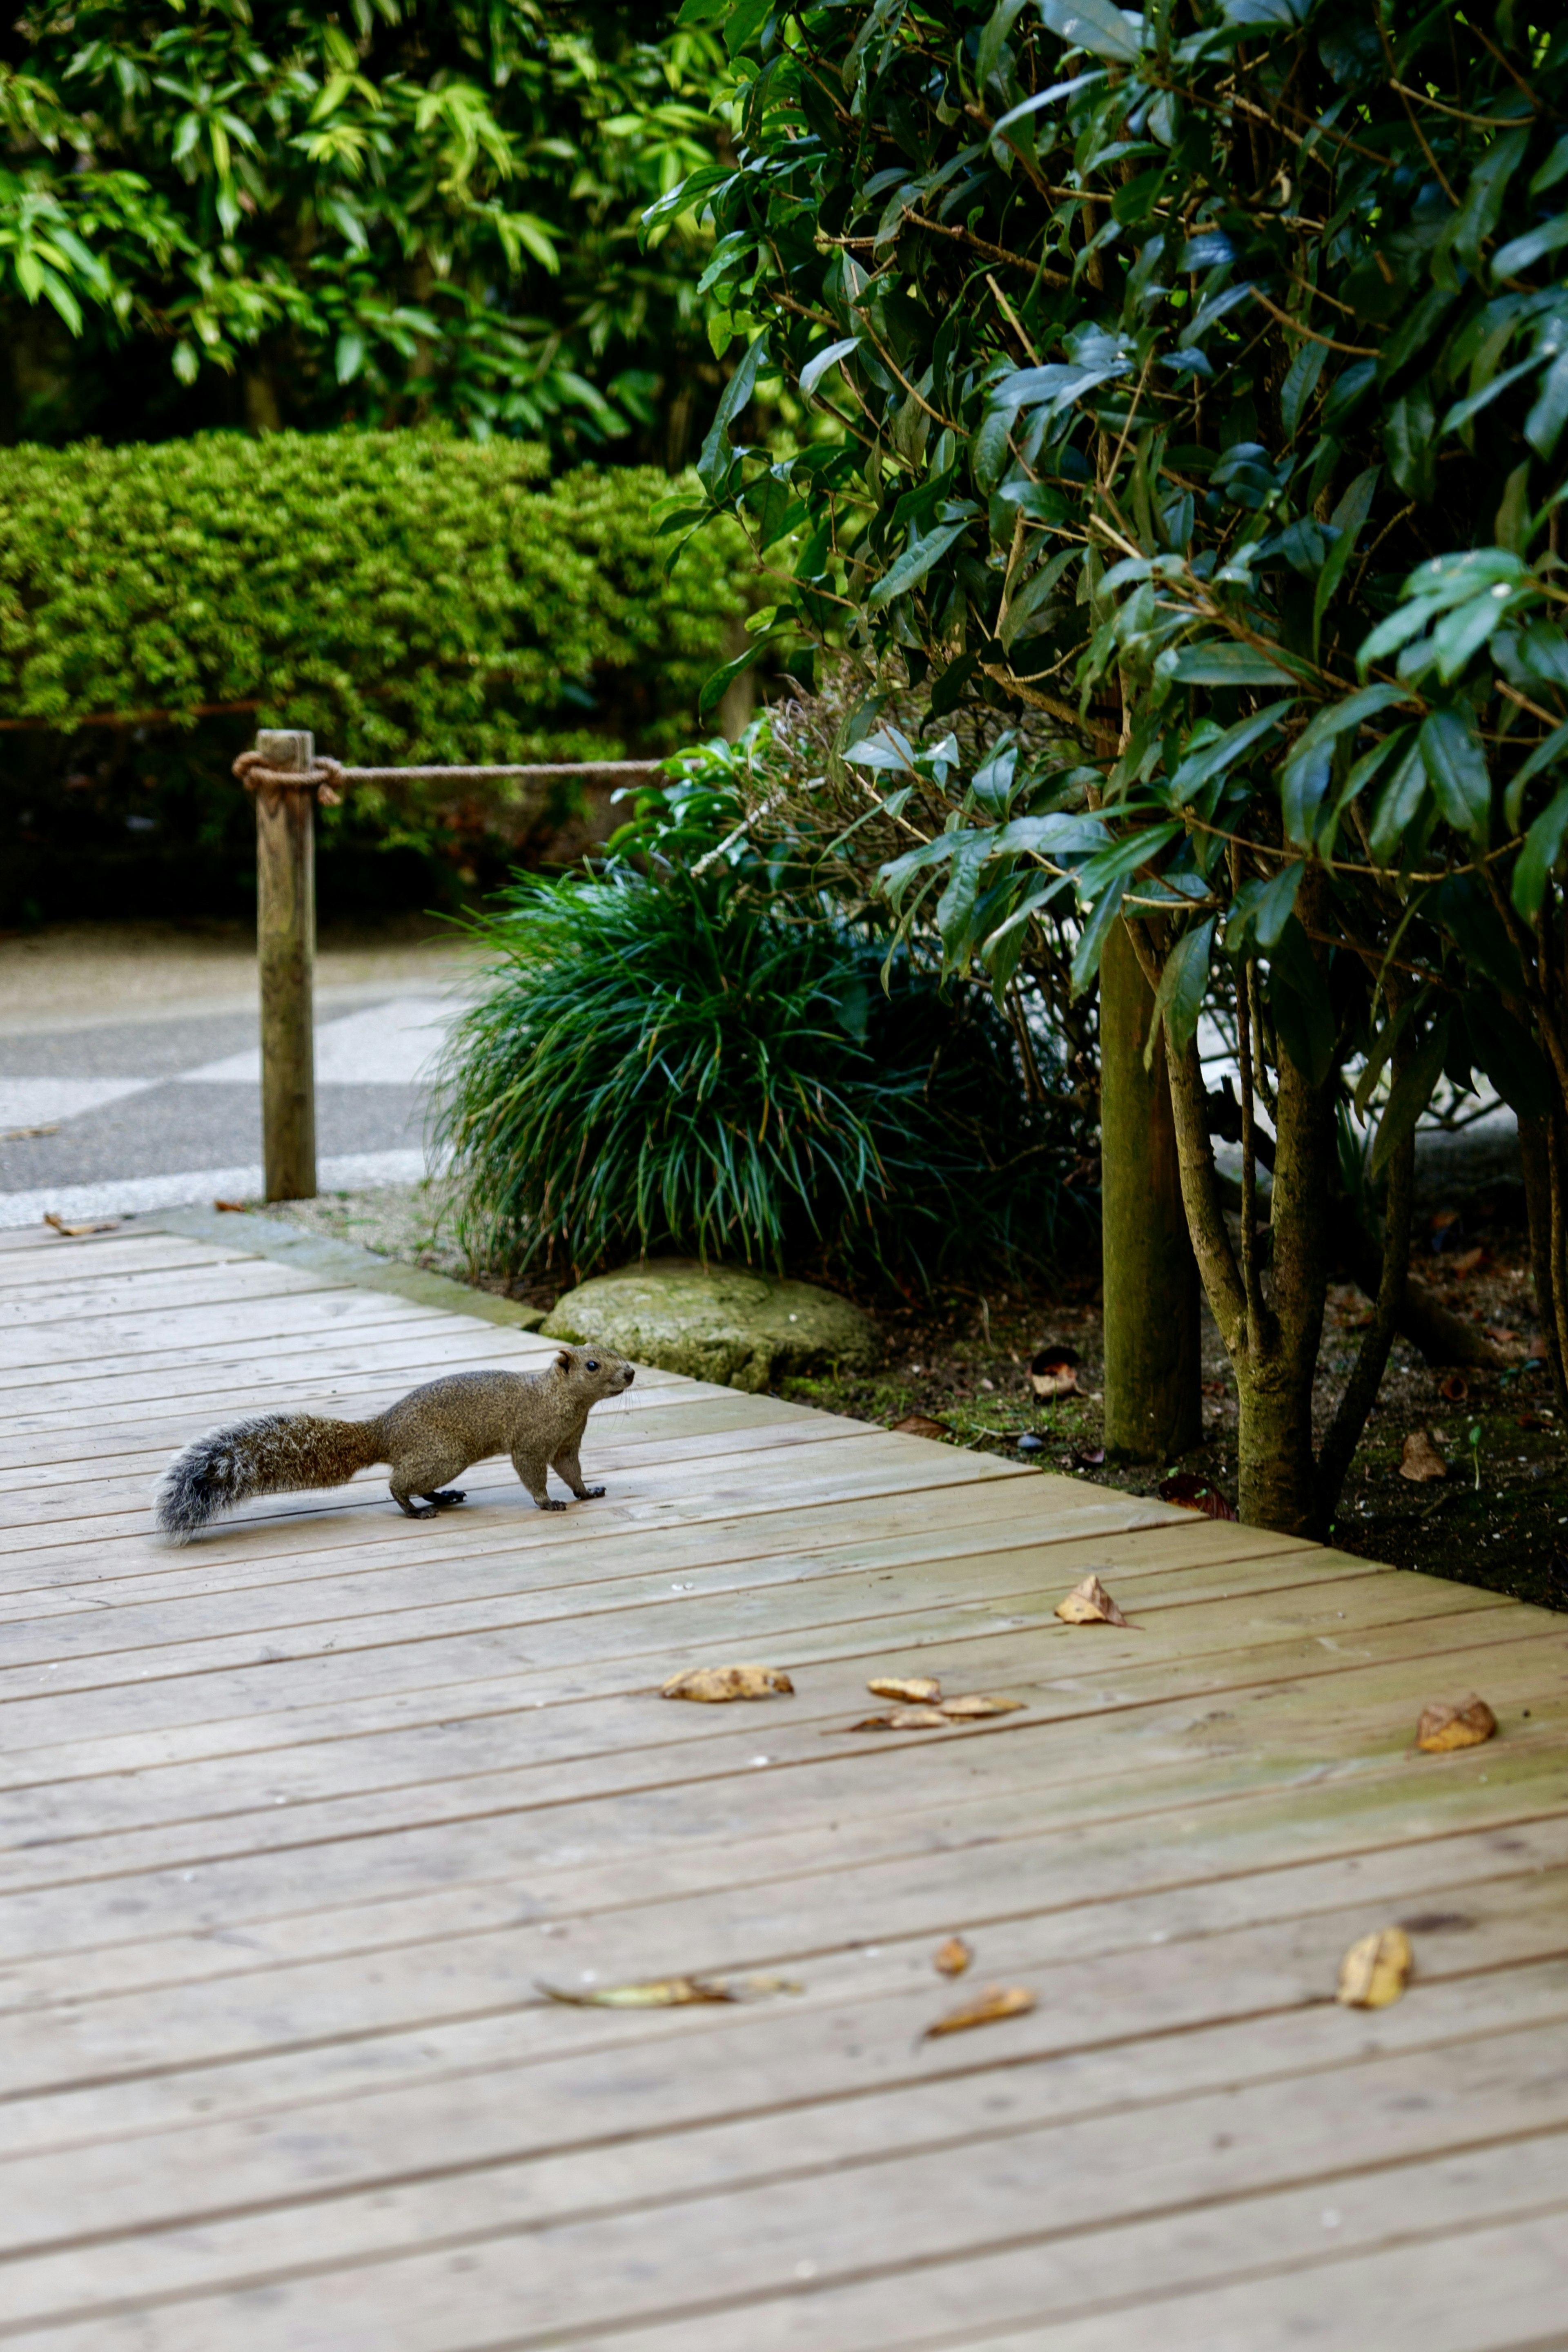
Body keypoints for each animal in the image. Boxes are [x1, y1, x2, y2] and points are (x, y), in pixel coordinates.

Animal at [153, 1345, 630, 1543]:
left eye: (613, 1351)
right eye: (592, 1364)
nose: (631, 1372)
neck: (562, 1401)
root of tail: (384, 1431)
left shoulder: (568, 1443)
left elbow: (572, 1470)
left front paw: (587, 1491)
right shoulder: (532, 1441)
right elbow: (533, 1472)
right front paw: (548, 1502)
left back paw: (443, 1497)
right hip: (442, 1453)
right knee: (397, 1484)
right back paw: (416, 1510)